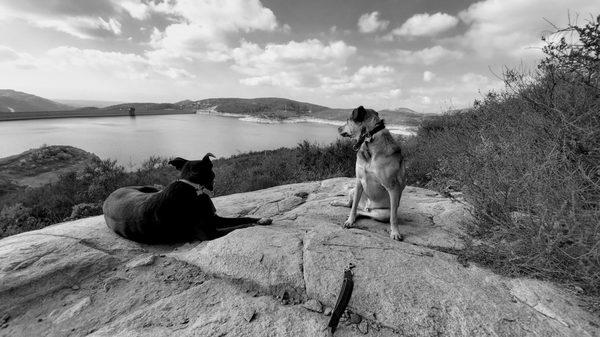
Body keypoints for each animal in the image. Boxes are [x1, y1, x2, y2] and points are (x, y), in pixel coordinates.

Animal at [103, 153, 272, 244]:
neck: (193, 187)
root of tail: (107, 198)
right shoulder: (209, 234)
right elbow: (238, 226)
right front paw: (253, 225)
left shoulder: (215, 219)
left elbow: (242, 218)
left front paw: (261, 219)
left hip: (147, 189)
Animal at [330, 105, 410, 239]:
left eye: (347, 120)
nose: (338, 128)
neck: (368, 140)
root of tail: (367, 207)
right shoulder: (358, 182)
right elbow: (353, 207)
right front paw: (350, 220)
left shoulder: (393, 187)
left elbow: (393, 217)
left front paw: (395, 232)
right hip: (353, 190)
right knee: (351, 205)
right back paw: (338, 203)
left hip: (382, 213)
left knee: (365, 213)